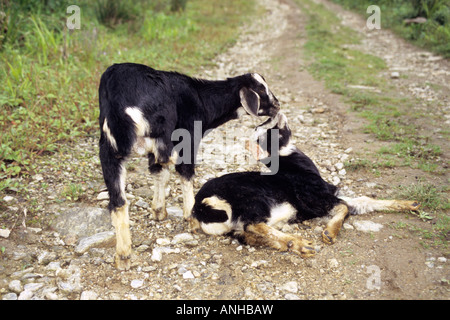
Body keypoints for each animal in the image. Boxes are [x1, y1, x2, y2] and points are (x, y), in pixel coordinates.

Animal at [99, 63, 278, 270]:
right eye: (262, 91)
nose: (277, 106)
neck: (201, 99)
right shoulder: (188, 137)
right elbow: (184, 173)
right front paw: (191, 218)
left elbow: (159, 174)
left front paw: (159, 211)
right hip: (163, 134)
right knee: (177, 166)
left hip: (109, 151)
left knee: (118, 201)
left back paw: (123, 255)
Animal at [191, 112, 422, 258]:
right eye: (263, 132)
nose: (273, 114)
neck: (289, 162)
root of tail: (200, 207)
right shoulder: (316, 199)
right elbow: (345, 207)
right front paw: (329, 233)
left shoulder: (329, 194)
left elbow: (363, 201)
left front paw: (410, 204)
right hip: (252, 200)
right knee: (252, 224)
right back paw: (299, 244)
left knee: (248, 234)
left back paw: (291, 244)